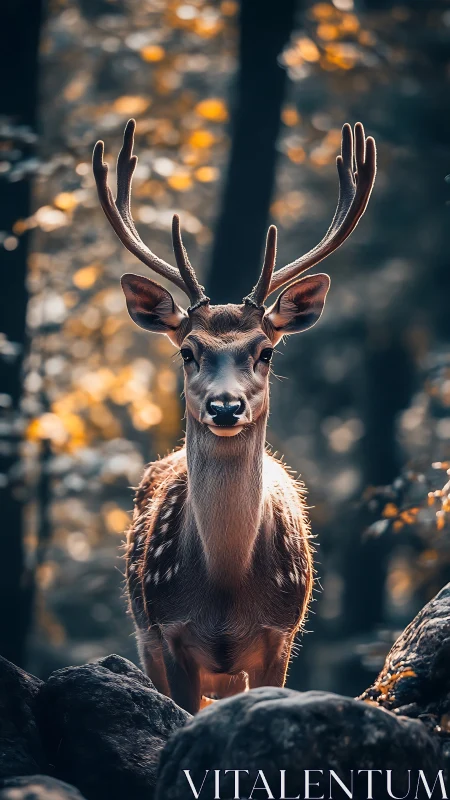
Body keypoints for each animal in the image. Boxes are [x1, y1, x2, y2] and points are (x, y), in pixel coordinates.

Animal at [92, 119, 376, 714]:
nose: (226, 405)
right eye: (187, 350)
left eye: (264, 351)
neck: (225, 590)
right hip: (143, 633)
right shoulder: (169, 632)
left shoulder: (281, 635)